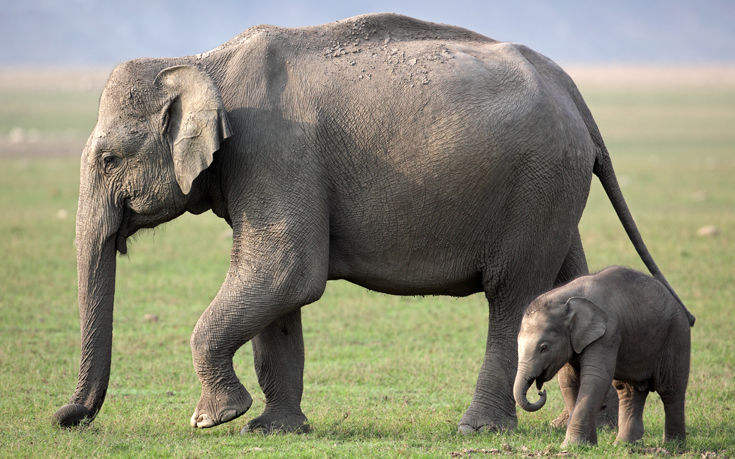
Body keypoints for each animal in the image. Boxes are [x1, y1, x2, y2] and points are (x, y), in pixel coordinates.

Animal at [51, 13, 684, 434]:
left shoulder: (274, 152)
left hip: (538, 182)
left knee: (513, 291)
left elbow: (287, 270)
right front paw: (274, 430)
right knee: (566, 274)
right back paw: (585, 428)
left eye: (108, 160)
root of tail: (574, 93)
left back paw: (480, 430)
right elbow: (280, 293)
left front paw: (214, 420)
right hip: (555, 188)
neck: (203, 61)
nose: (66, 417)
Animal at [516, 268, 692, 448]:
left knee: (671, 390)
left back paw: (673, 445)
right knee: (629, 390)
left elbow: (596, 378)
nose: (541, 392)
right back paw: (624, 444)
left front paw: (572, 446)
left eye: (544, 347)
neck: (566, 299)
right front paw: (588, 444)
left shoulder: (607, 334)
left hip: (677, 336)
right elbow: (568, 381)